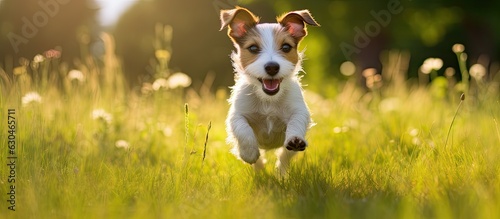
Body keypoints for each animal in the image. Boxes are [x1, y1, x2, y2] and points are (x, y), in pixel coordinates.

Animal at [220, 6, 320, 175]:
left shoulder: (299, 111)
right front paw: (248, 153)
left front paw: (295, 138)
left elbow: (296, 122)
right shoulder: (237, 114)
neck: (268, 100)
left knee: (284, 156)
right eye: (253, 48)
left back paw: (281, 173)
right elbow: (243, 129)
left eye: (286, 47)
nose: (272, 67)